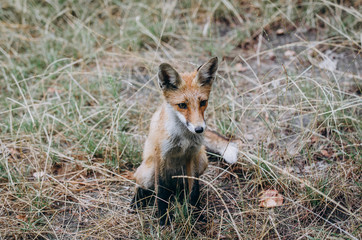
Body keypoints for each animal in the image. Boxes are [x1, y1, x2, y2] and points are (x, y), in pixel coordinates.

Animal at [132, 56, 239, 225]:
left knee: (182, 189)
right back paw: (138, 200)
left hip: (202, 161)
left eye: (203, 102)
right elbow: (161, 192)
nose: (199, 129)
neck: (183, 139)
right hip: (148, 170)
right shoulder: (160, 156)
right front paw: (163, 220)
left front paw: (196, 216)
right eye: (182, 105)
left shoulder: (192, 155)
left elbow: (194, 191)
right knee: (142, 183)